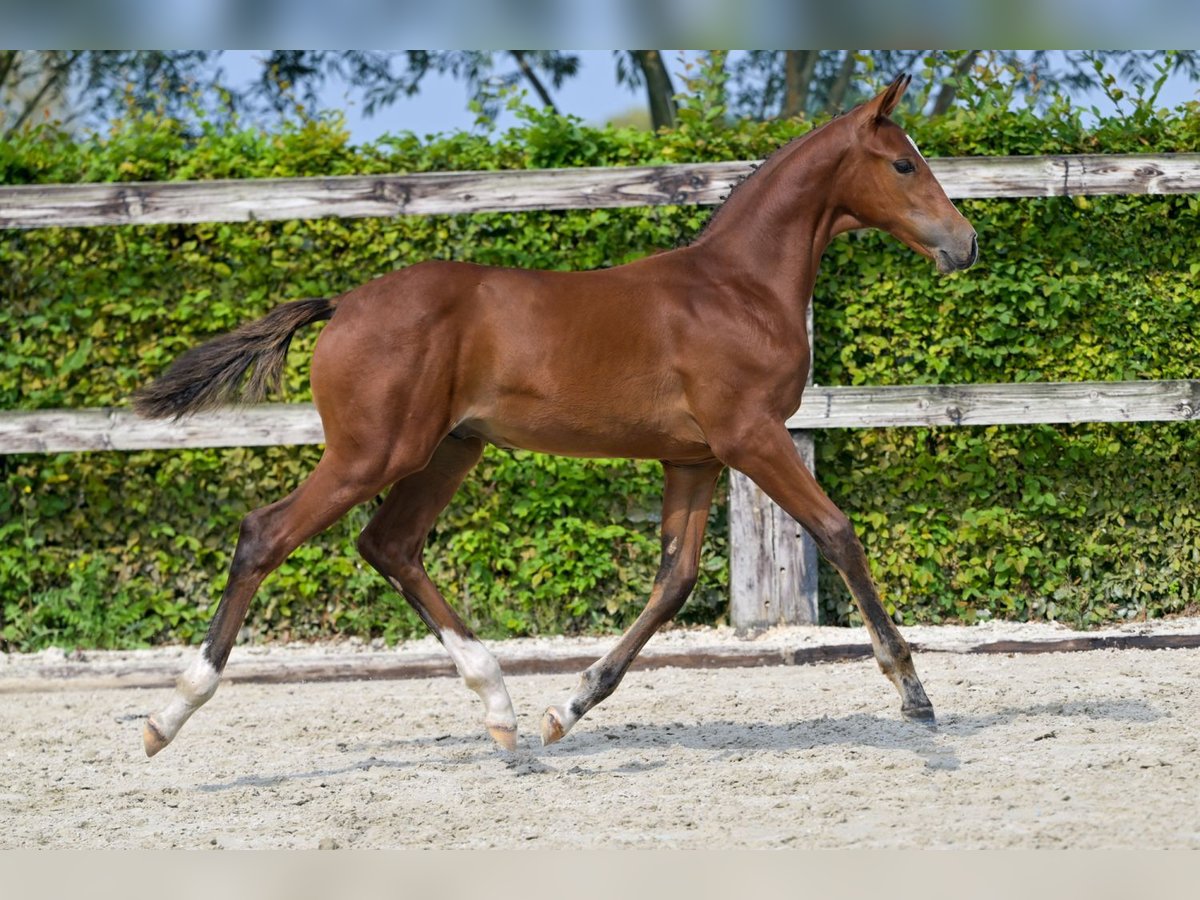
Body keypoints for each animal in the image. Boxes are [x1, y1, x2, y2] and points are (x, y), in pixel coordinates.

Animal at [136, 75, 974, 763]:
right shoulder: (752, 438)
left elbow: (674, 580)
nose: (965, 243)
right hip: (373, 452)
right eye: (903, 164)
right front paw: (912, 690)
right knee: (266, 534)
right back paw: (168, 715)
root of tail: (342, 305)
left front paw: (567, 708)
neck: (737, 287)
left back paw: (500, 708)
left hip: (449, 450)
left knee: (390, 544)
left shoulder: (695, 457)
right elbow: (837, 533)